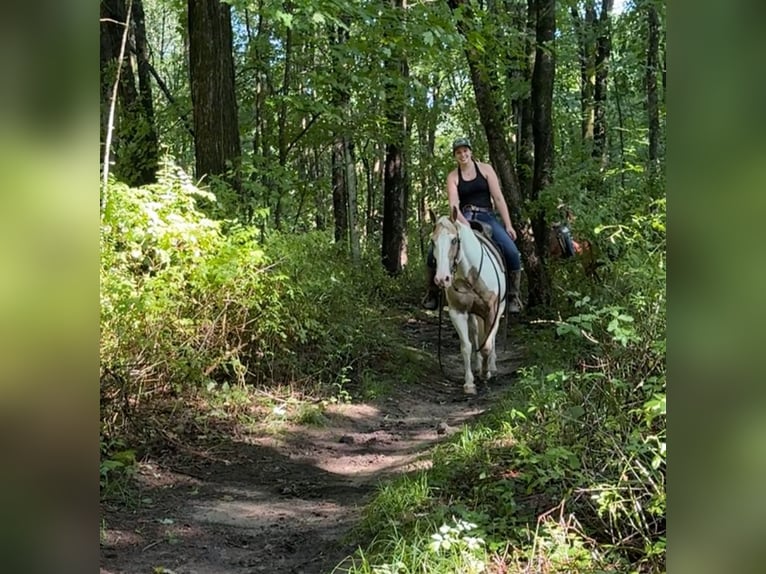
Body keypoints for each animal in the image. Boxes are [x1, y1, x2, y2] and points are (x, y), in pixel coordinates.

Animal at [436, 208, 508, 396]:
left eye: (454, 240)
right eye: (433, 241)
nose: (442, 279)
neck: (470, 277)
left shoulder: (491, 312)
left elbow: (487, 345)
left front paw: (485, 373)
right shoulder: (458, 312)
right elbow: (466, 346)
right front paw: (469, 383)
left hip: (499, 310)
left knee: (492, 338)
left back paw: (491, 367)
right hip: (473, 315)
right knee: (476, 334)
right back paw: (477, 365)